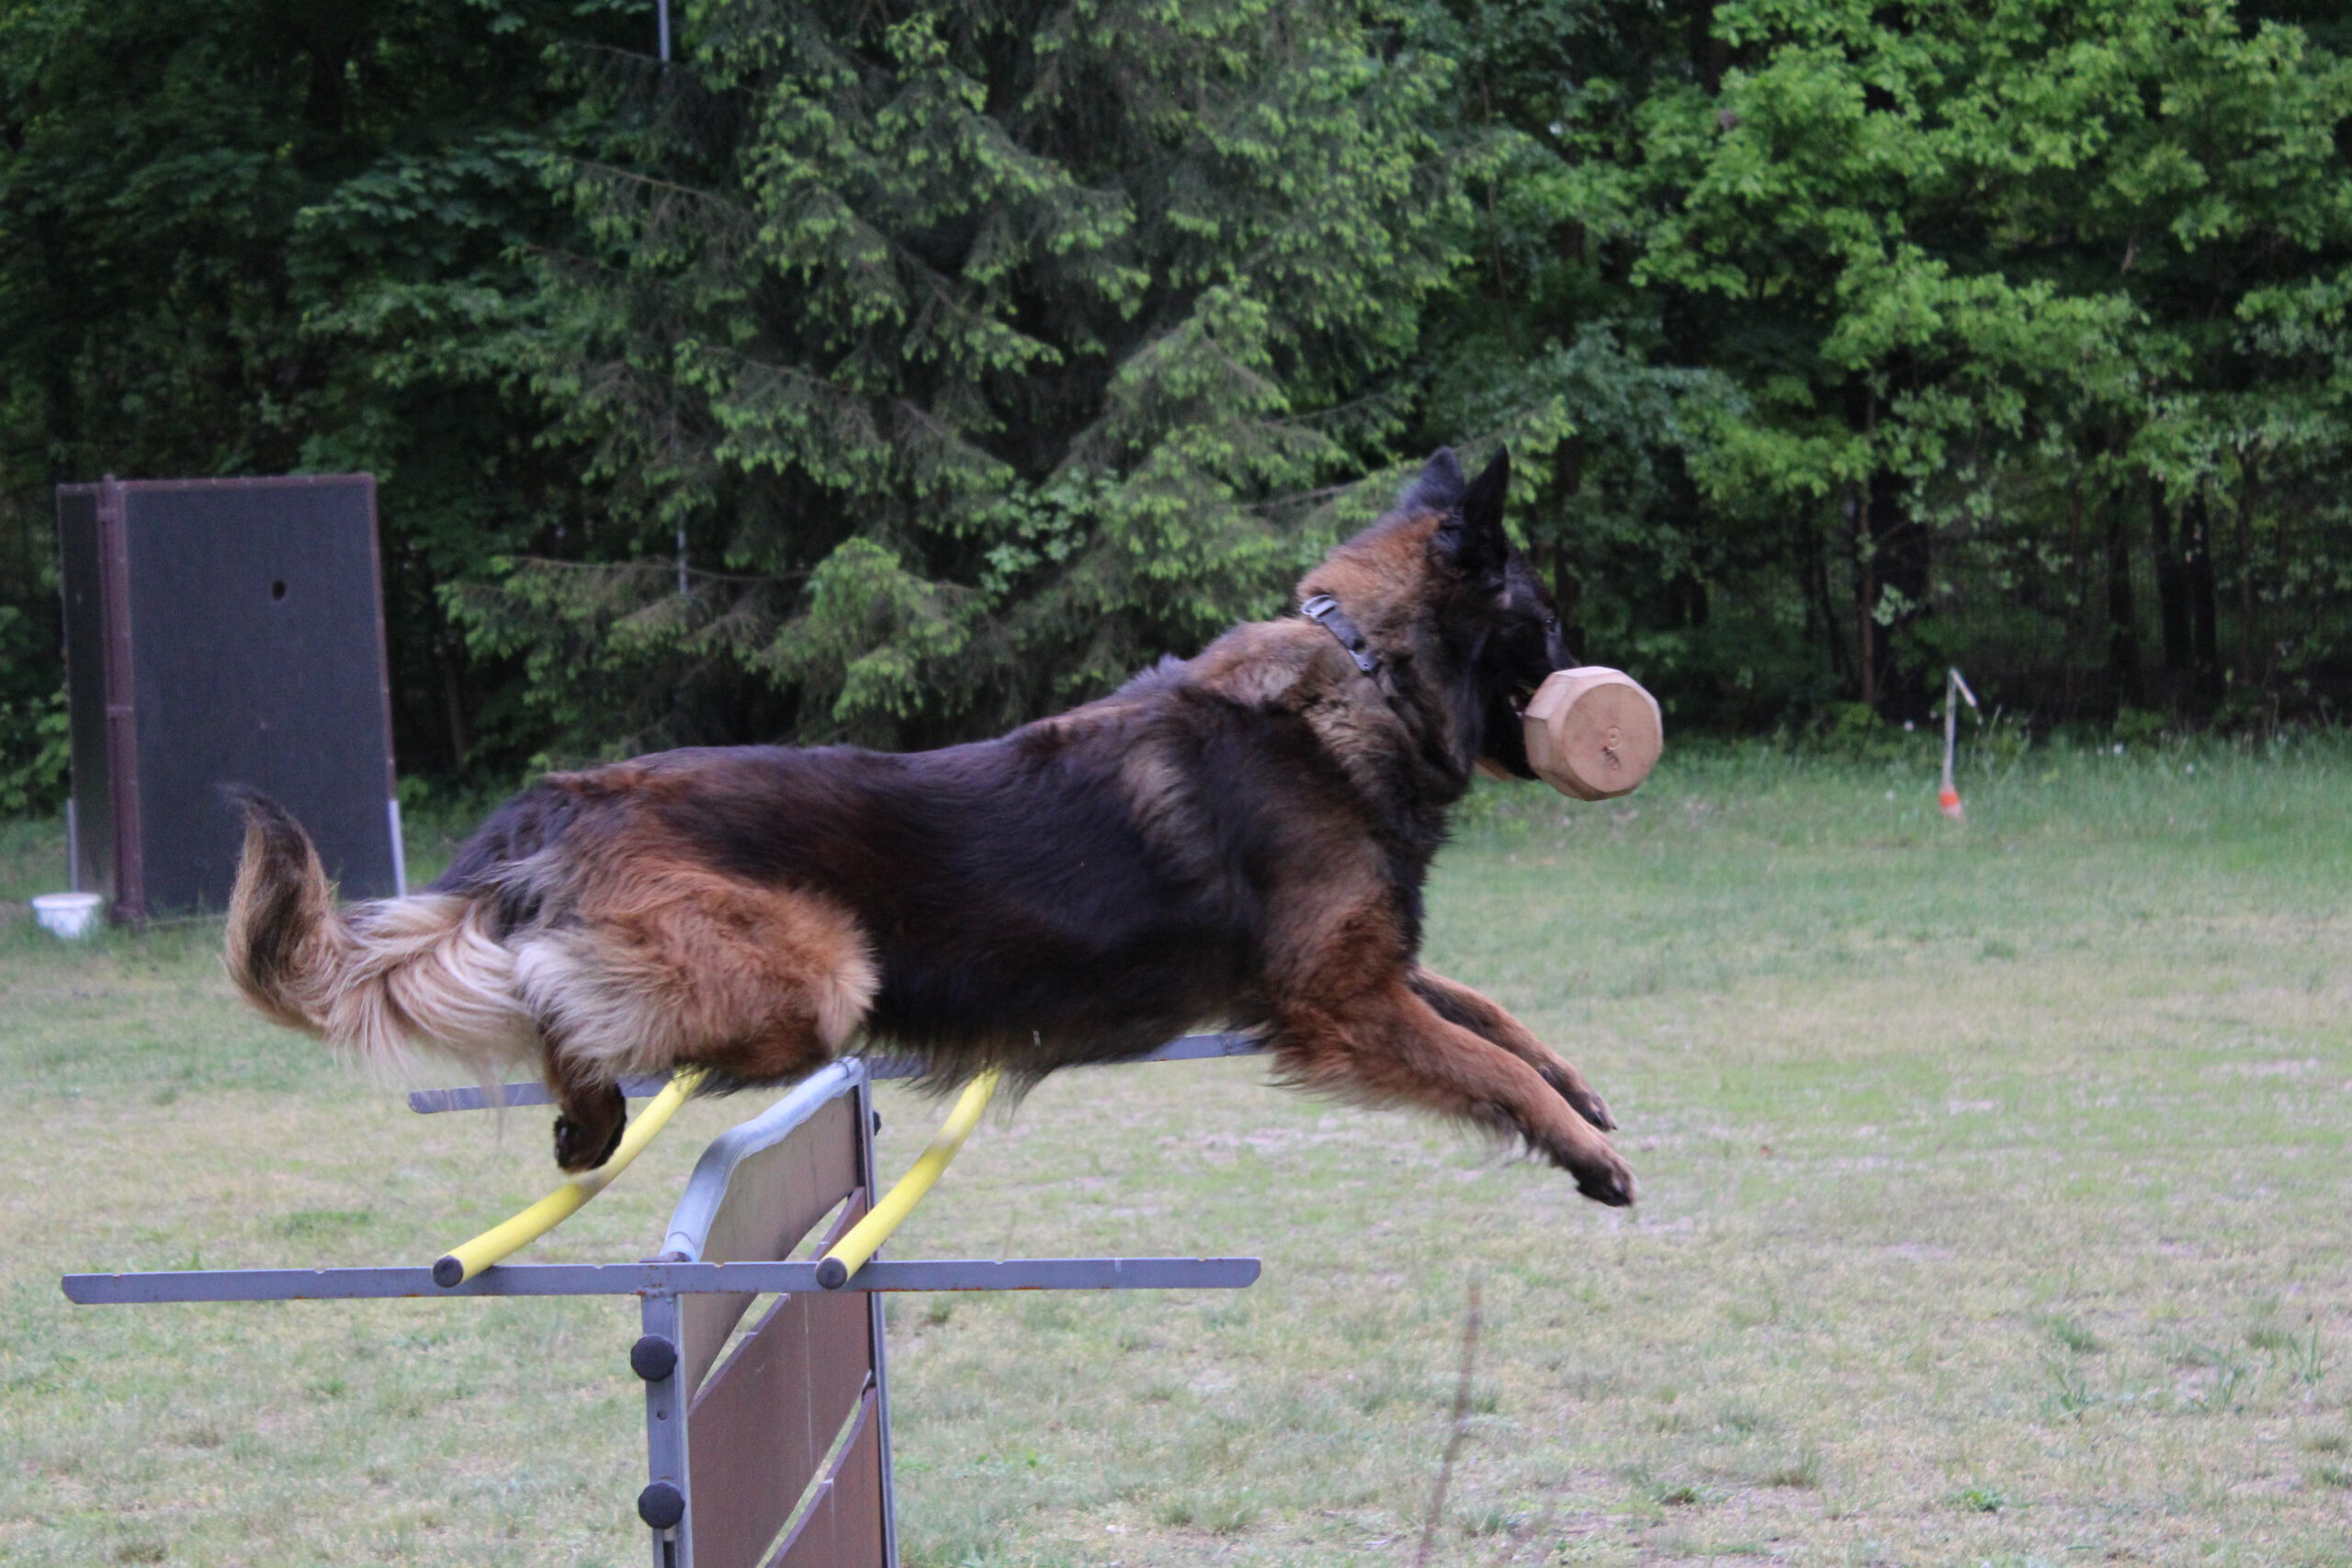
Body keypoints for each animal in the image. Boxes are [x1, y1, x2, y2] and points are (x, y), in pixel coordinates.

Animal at [229, 446, 1636, 1213]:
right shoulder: (1336, 997)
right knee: (558, 997)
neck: (1364, 676)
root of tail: (559, 795)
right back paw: (585, 1104)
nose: (1605, 685)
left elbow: (1491, 1012)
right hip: (817, 981)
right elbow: (1484, 1059)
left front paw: (1578, 1088)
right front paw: (1577, 1148)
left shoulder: (1356, 966)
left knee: (552, 995)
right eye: (1547, 622)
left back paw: (585, 1121)